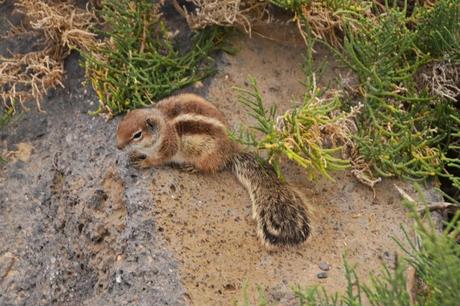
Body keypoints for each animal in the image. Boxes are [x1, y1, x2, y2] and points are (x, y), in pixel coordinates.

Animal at [115, 94, 310, 249]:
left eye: (137, 134)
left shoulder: (168, 148)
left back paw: (192, 167)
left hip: (206, 155)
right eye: (120, 126)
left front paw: (144, 162)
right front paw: (134, 154)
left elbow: (158, 160)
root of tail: (231, 150)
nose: (118, 147)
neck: (163, 125)